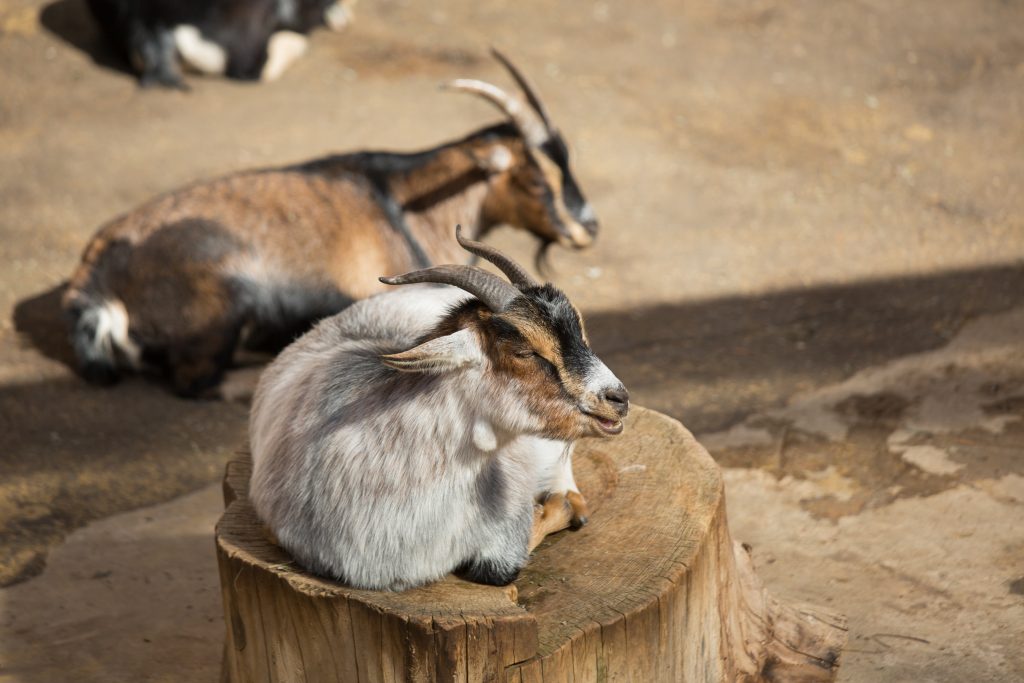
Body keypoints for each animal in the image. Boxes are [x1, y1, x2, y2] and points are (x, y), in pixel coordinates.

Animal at [64, 49, 598, 395]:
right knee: (195, 379)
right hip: (224, 307)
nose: (587, 228)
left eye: (568, 160)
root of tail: (95, 275)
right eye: (535, 180)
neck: (402, 200)